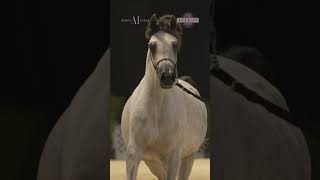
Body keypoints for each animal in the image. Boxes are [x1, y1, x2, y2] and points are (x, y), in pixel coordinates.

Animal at [120, 14, 208, 180]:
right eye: (151, 45)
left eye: (175, 44)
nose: (166, 76)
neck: (156, 109)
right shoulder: (134, 155)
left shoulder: (173, 157)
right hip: (152, 162)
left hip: (189, 157)